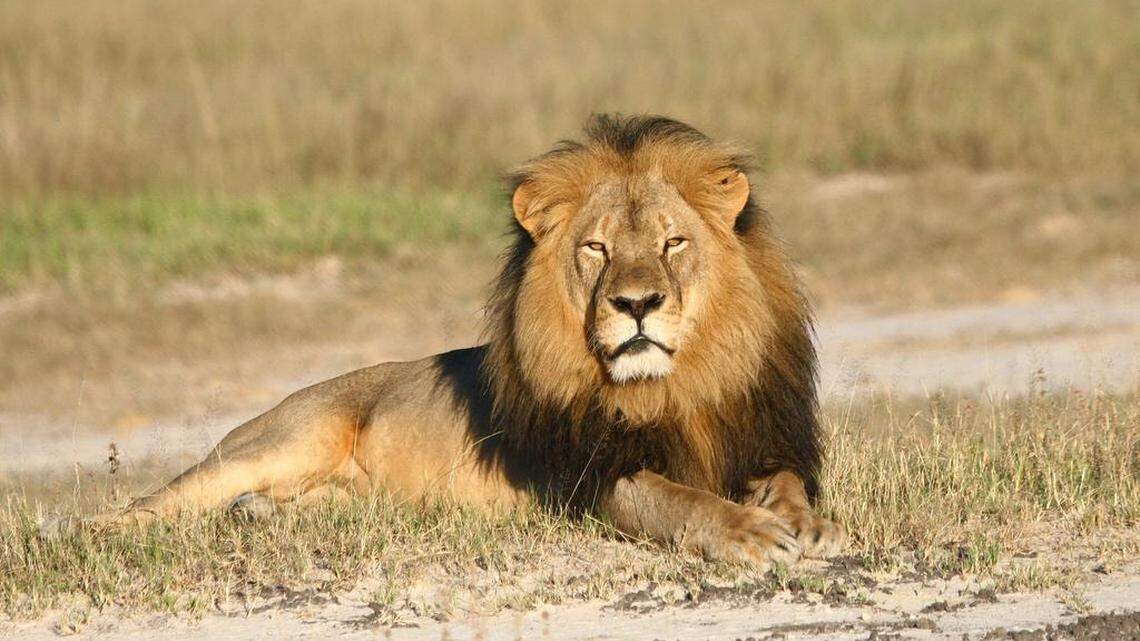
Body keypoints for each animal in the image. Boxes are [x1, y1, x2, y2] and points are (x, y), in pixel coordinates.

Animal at [67, 115, 844, 566]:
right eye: (595, 248)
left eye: (671, 242)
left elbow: (786, 481)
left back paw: (259, 515)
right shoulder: (588, 477)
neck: (672, 387)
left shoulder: (759, 436)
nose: (637, 304)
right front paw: (747, 532)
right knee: (157, 501)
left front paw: (808, 524)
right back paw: (83, 533)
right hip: (285, 437)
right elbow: (676, 500)